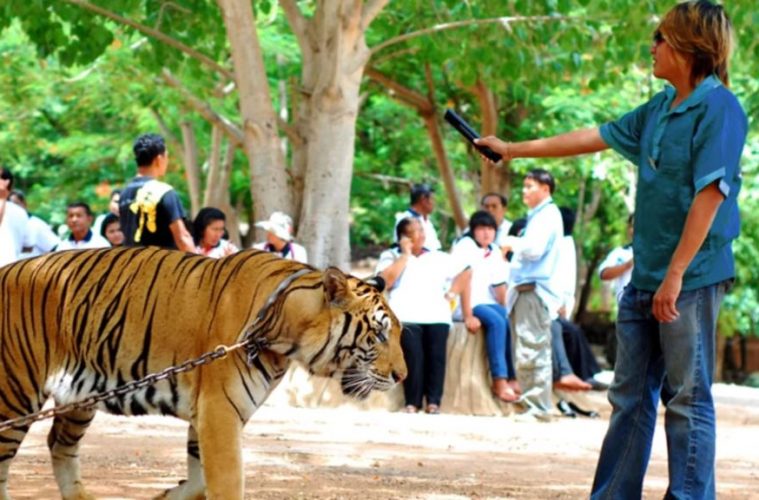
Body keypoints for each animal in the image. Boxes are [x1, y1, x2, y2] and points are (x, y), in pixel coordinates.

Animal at [0, 247, 406, 500]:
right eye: (379, 333)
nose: (402, 376)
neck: (284, 327)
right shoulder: (219, 412)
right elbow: (227, 483)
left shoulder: (209, 415)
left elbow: (197, 481)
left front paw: (163, 496)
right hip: (15, 394)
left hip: (79, 394)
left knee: (59, 444)